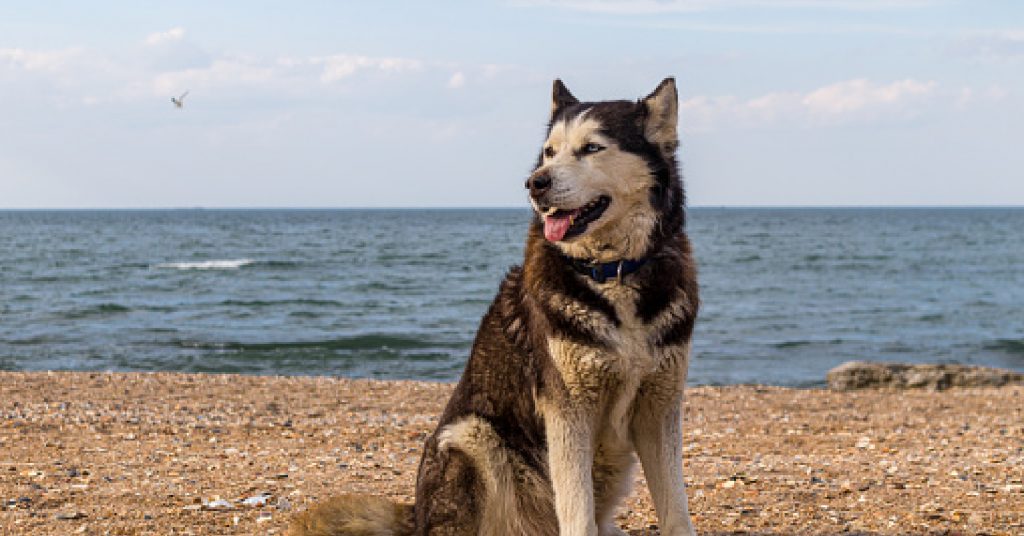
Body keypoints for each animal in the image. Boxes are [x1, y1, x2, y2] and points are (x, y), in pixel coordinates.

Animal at [292, 78, 700, 536]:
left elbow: (675, 510)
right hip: (473, 437)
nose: (534, 183)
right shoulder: (568, 411)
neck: (611, 273)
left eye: (592, 148)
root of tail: (417, 515)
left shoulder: (659, 407)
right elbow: (576, 511)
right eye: (549, 152)